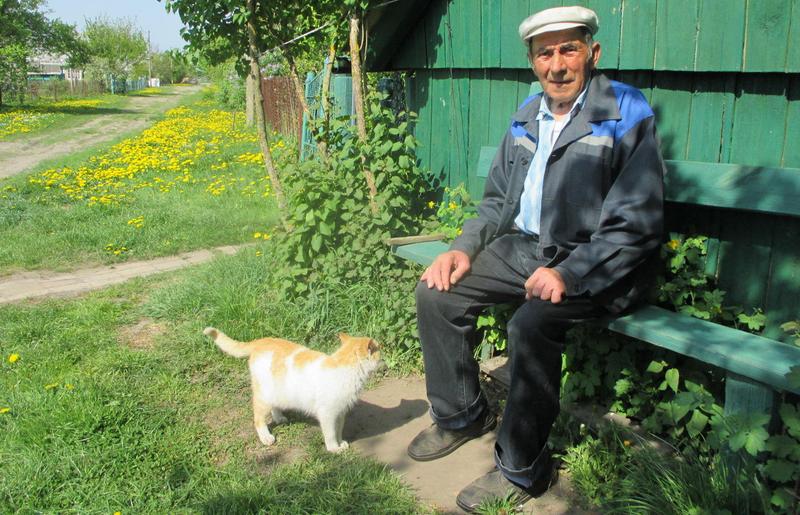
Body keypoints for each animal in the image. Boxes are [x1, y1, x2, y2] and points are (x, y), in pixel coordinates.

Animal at [205, 328, 382, 454]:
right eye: (379, 350)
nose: (384, 354)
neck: (344, 367)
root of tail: (262, 341)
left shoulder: (340, 413)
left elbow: (338, 430)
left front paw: (341, 443)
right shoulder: (328, 414)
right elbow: (330, 433)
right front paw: (334, 448)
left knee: (275, 407)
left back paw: (280, 418)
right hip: (264, 396)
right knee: (258, 419)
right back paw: (266, 438)